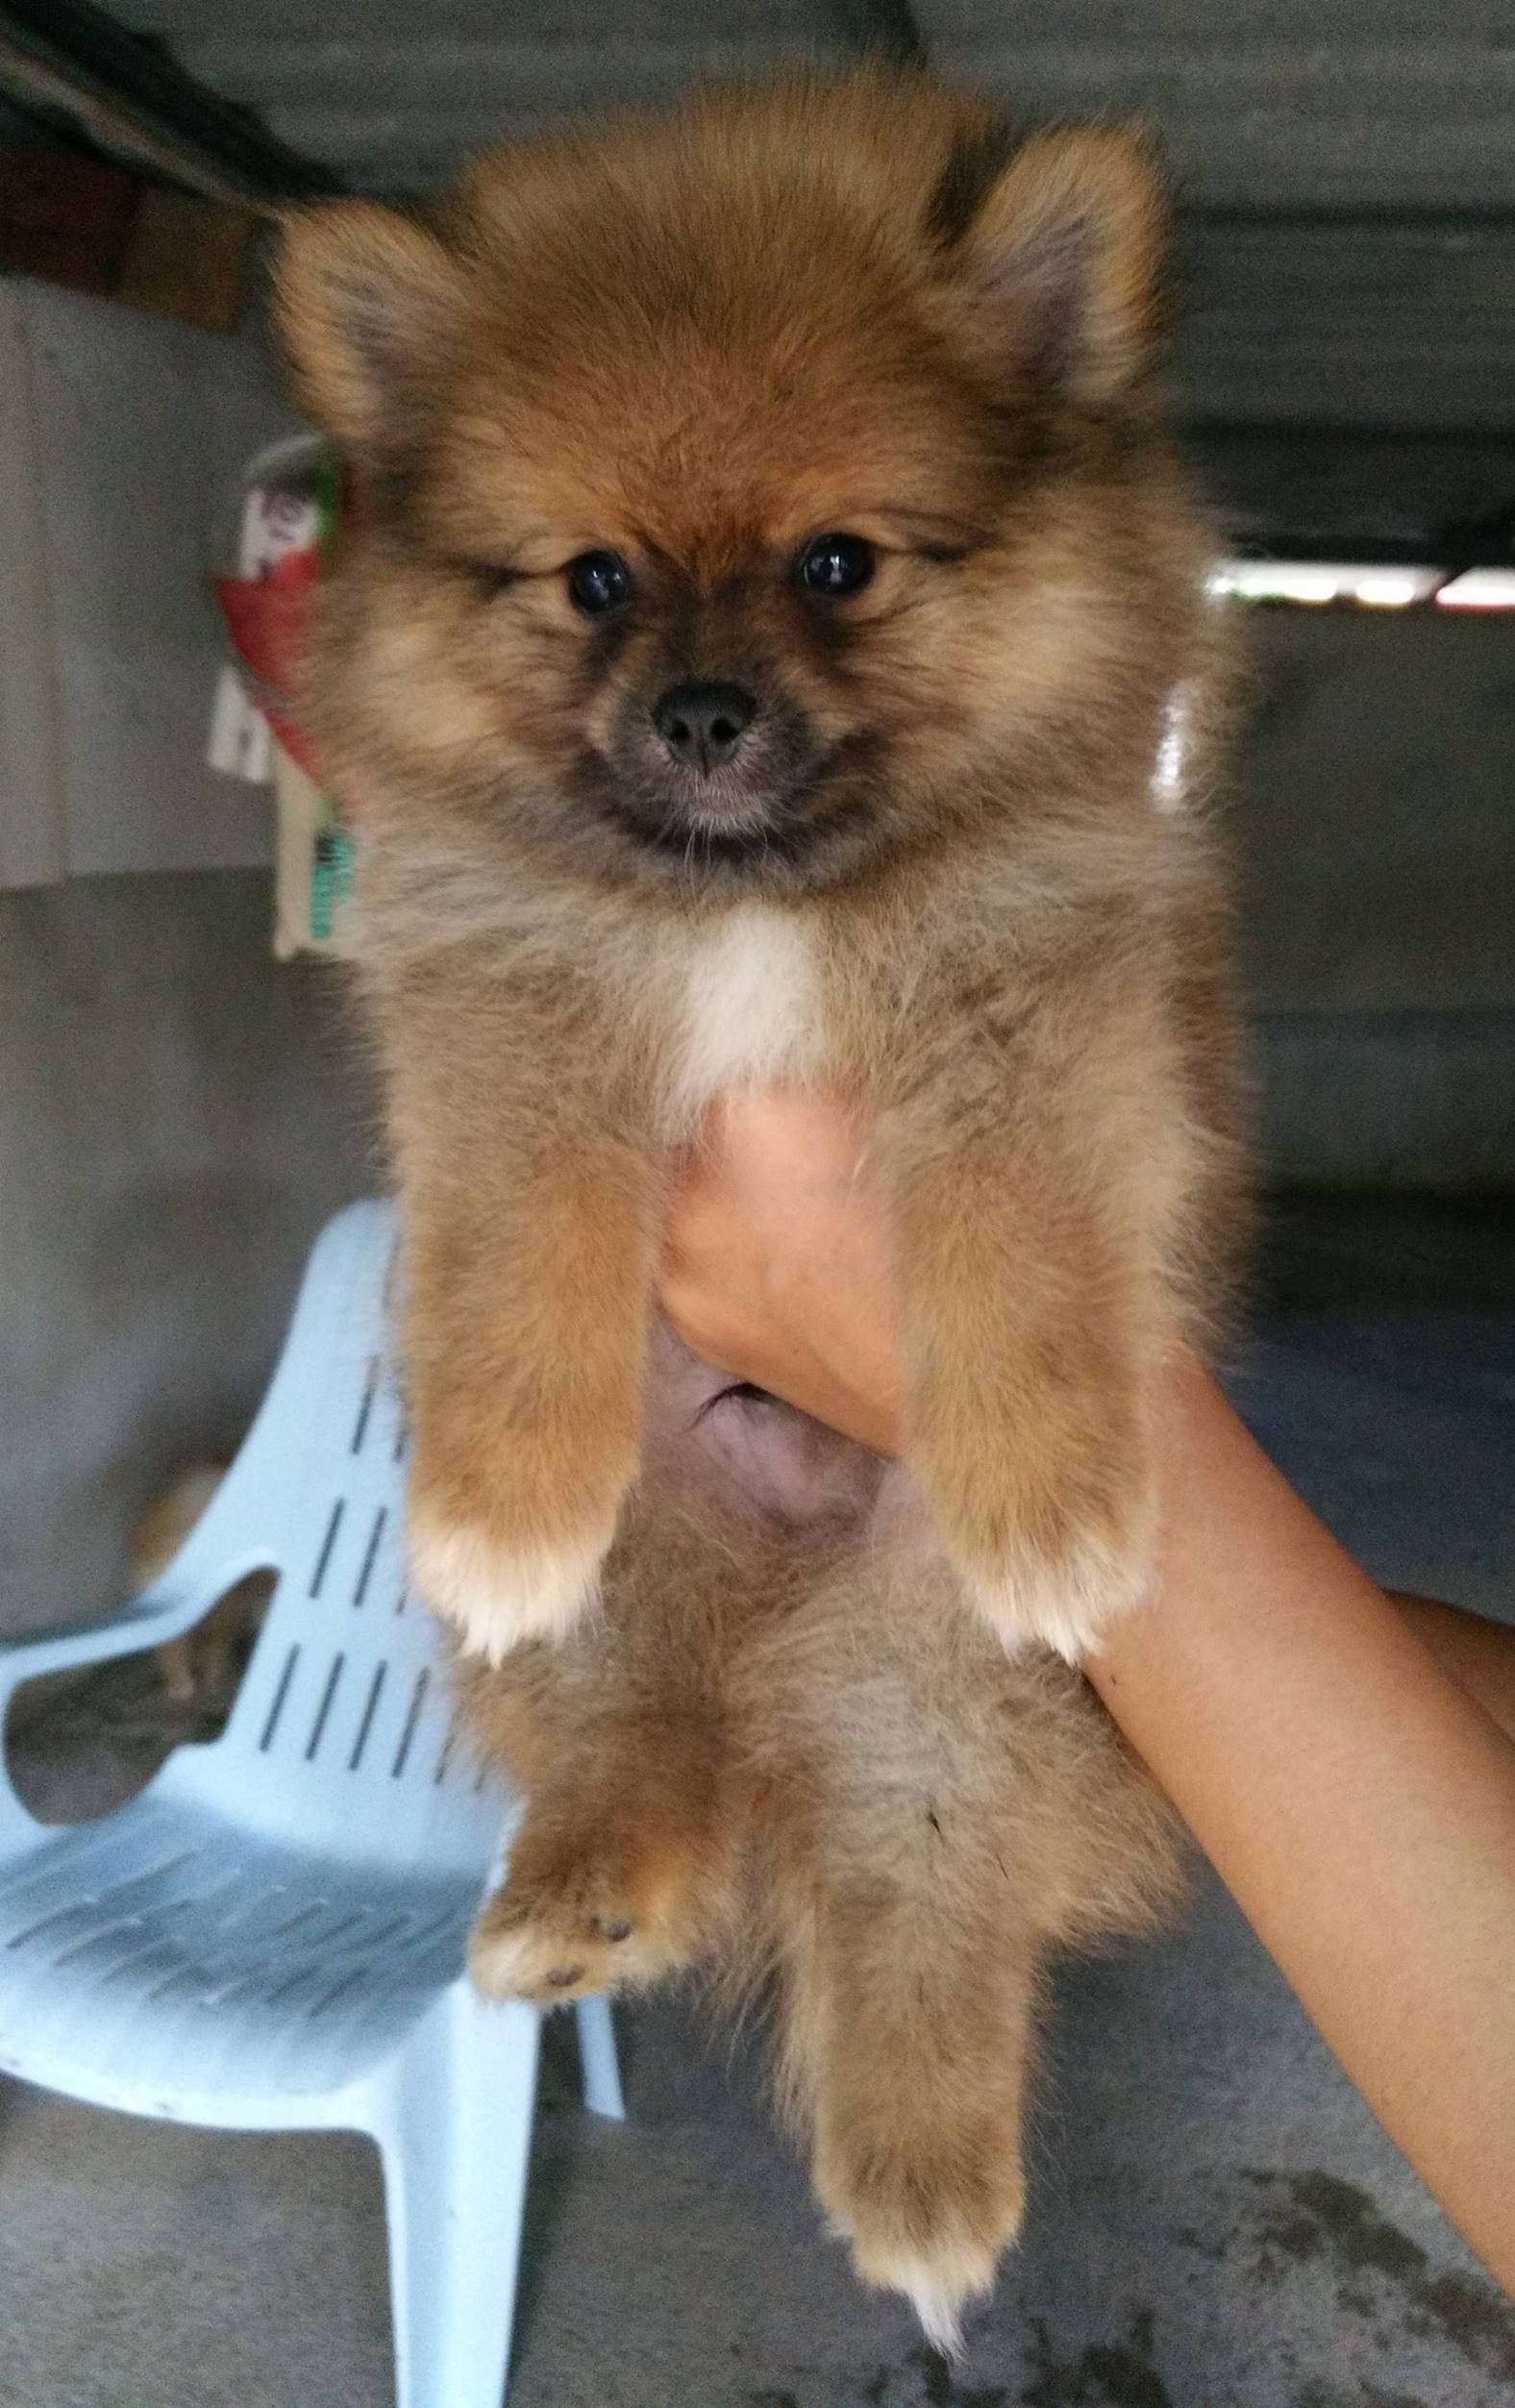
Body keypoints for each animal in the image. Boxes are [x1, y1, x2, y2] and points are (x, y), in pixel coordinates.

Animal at [275, 68, 1245, 2346]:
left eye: (835, 565)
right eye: (594, 581)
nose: (701, 713)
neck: (748, 904)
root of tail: (772, 1607)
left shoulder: (1034, 1016)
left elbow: (1016, 1272)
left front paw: (1054, 1496)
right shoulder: (511, 1020)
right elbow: (521, 1260)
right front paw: (499, 1495)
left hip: (936, 1662)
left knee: (915, 1857)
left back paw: (921, 2170)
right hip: (642, 1569)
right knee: (639, 1734)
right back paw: (589, 1894)